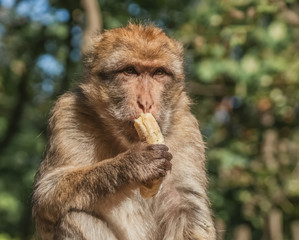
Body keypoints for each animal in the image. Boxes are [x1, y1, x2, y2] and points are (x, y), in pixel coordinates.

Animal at [32, 23, 216, 240]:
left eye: (158, 73)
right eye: (130, 71)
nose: (146, 103)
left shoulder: (186, 128)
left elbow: (188, 209)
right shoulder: (68, 114)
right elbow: (47, 194)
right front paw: (134, 164)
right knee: (75, 216)